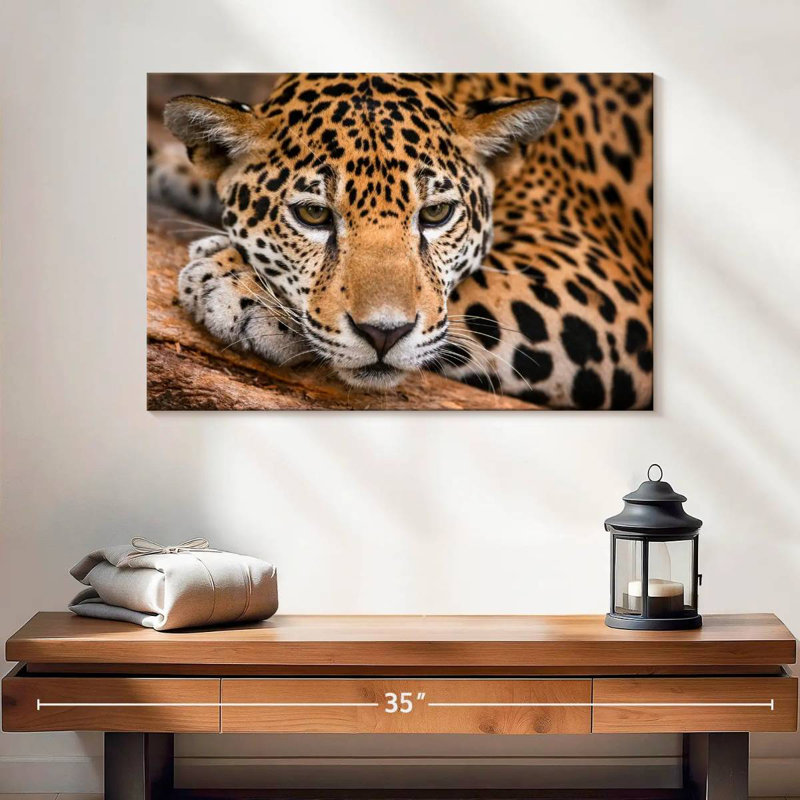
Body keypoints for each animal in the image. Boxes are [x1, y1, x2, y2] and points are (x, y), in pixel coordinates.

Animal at [148, 73, 653, 409]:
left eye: (436, 214)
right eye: (313, 214)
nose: (383, 335)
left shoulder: (602, 284)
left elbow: (462, 299)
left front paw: (237, 283)